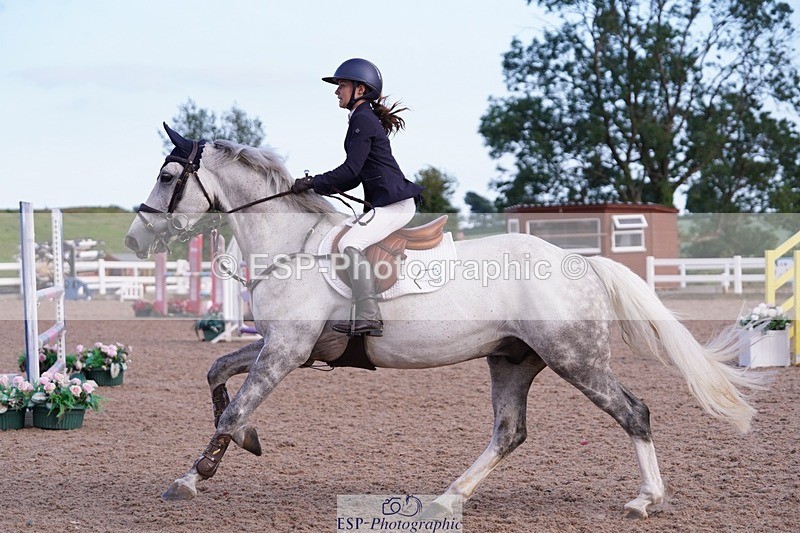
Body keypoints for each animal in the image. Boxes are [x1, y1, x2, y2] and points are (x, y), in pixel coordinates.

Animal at [124, 125, 763, 519]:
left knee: (634, 412)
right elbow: (216, 372)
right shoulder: (284, 347)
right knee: (509, 431)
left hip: (574, 358)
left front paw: (194, 475)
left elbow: (233, 406)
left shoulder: (287, 350)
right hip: (512, 359)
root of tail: (581, 261)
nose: (133, 239)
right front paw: (244, 443)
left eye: (166, 176)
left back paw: (643, 499)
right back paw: (447, 498)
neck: (290, 244)